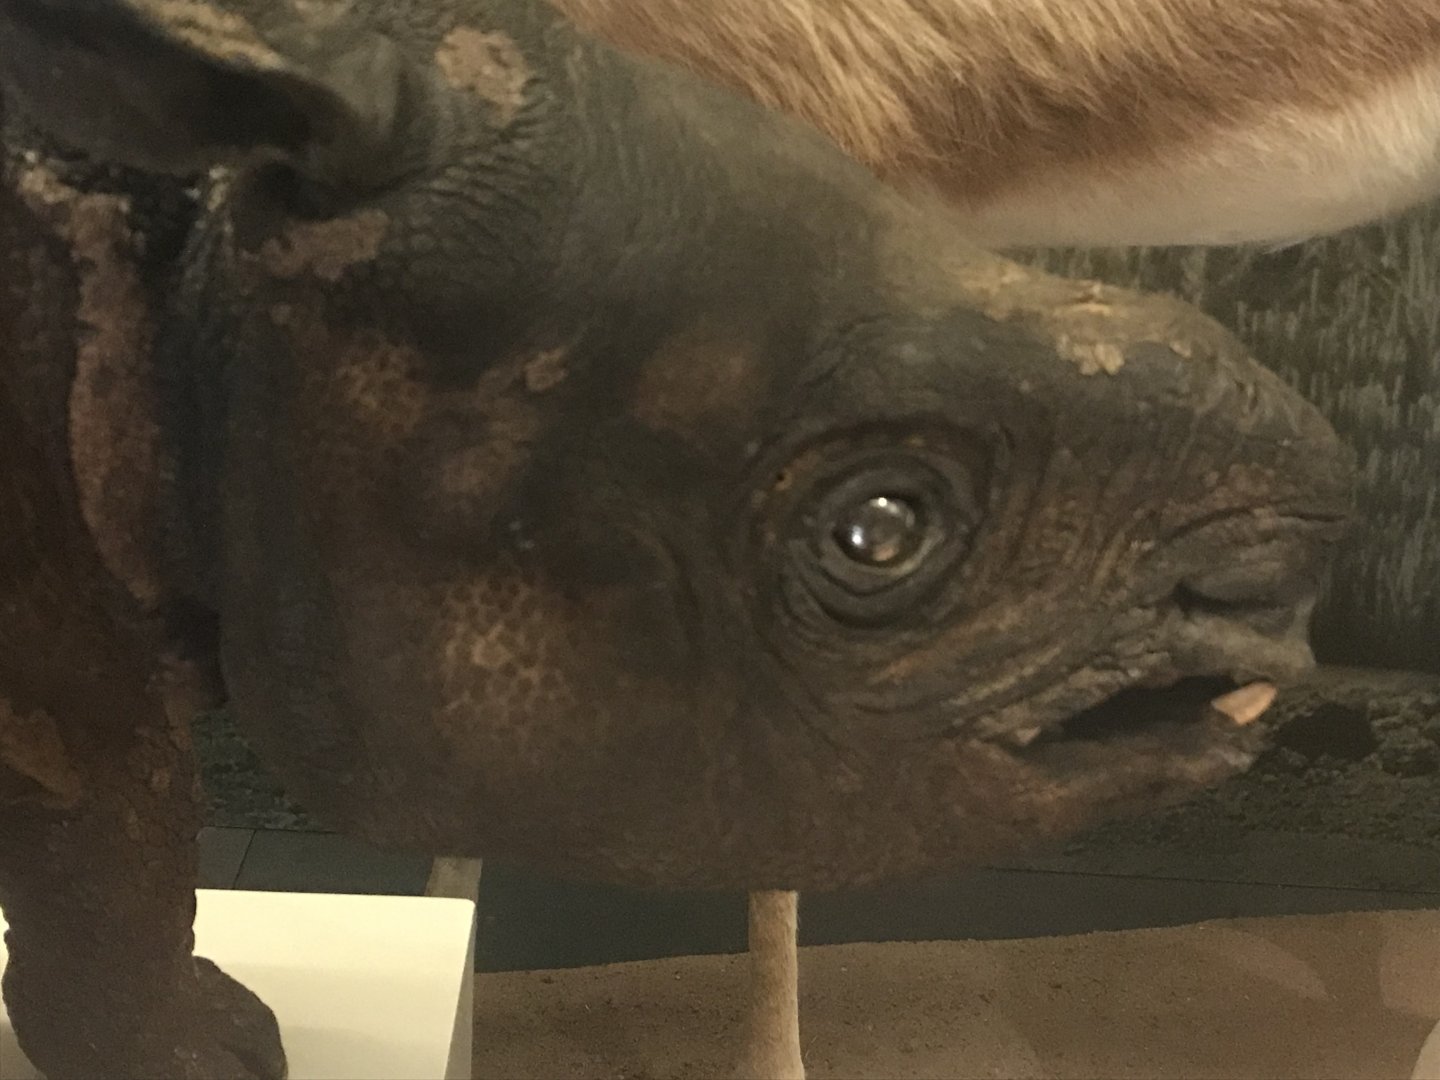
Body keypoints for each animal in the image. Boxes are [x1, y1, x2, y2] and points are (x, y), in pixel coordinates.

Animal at [0, 0, 1352, 1075]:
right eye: (876, 531)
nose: (1276, 594)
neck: (197, 289)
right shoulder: (71, 669)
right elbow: (120, 835)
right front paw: (206, 1058)